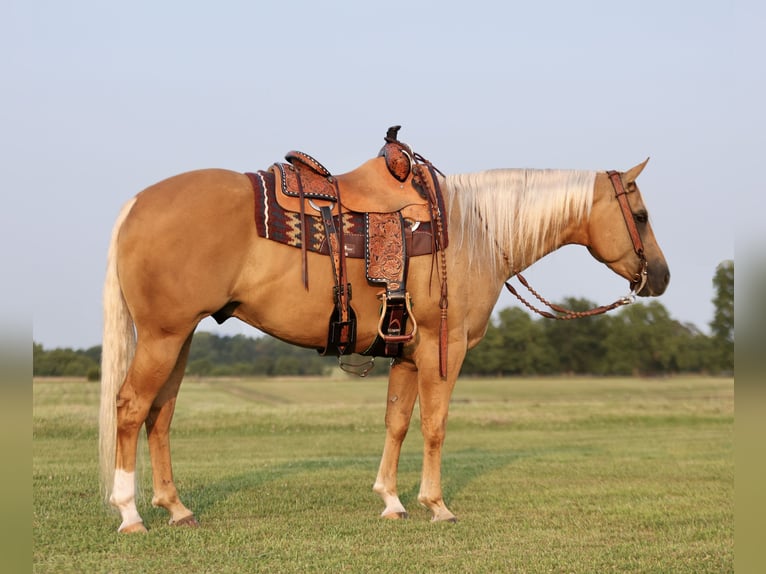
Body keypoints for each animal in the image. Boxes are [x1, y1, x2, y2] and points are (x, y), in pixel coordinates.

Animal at [97, 136, 672, 536]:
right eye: (641, 215)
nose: (661, 278)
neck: (474, 231)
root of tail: (136, 203)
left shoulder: (408, 354)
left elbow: (397, 423)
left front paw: (392, 502)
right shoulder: (444, 350)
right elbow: (435, 427)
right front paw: (437, 506)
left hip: (180, 338)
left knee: (160, 414)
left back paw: (176, 509)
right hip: (163, 337)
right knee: (130, 408)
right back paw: (129, 514)